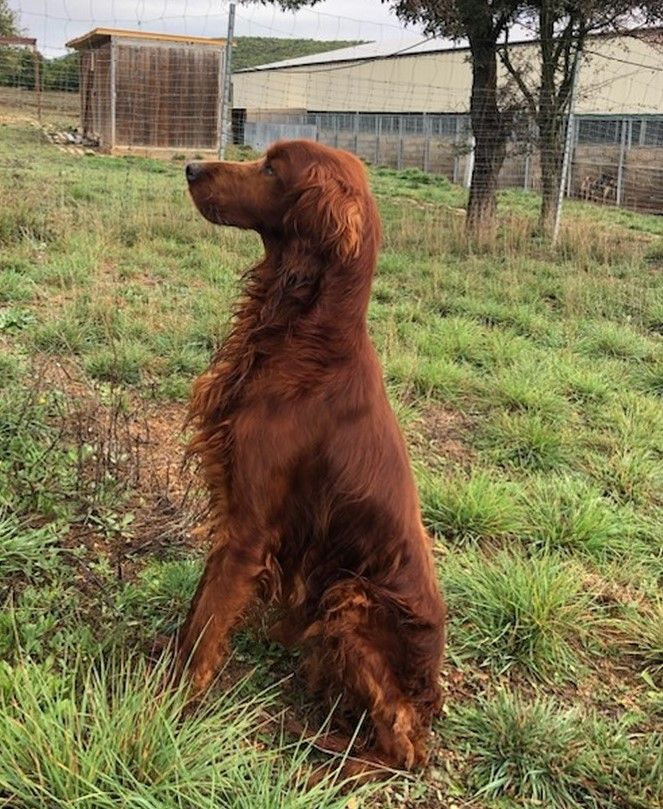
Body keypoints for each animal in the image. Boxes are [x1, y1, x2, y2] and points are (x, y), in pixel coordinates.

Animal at [180, 139, 446, 772]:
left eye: (272, 168)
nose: (191, 168)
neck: (307, 341)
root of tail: (432, 688)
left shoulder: (249, 531)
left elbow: (205, 628)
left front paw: (168, 706)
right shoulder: (233, 510)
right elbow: (195, 611)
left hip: (350, 598)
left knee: (403, 741)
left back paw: (328, 752)